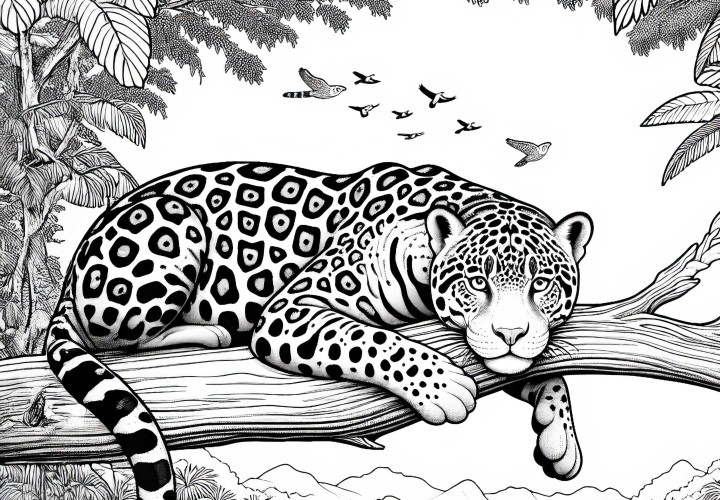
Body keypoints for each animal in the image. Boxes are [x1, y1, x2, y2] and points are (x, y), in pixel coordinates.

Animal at [44, 161, 593, 500]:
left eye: (541, 284)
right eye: (478, 281)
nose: (509, 333)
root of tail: (72, 270)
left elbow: (543, 370)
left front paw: (558, 435)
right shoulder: (292, 308)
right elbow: (372, 341)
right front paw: (441, 385)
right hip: (171, 233)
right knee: (115, 336)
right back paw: (203, 333)